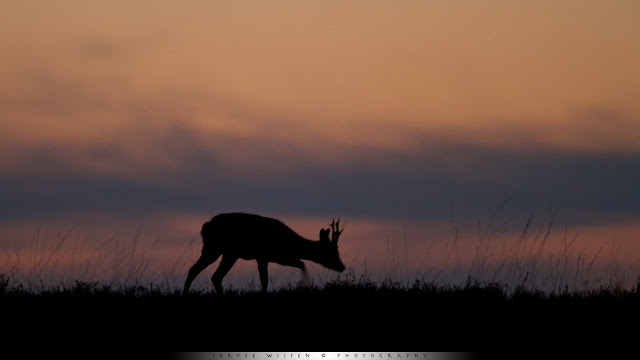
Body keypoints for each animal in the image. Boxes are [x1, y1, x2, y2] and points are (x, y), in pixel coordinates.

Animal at [182, 212, 348, 294]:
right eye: (332, 251)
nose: (342, 267)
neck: (290, 243)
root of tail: (204, 226)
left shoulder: (275, 257)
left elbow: (299, 264)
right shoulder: (266, 256)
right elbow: (266, 279)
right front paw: (306, 284)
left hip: (229, 254)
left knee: (213, 276)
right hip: (214, 249)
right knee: (198, 271)